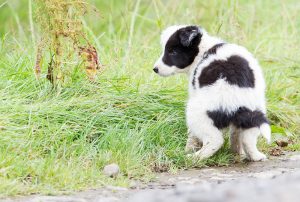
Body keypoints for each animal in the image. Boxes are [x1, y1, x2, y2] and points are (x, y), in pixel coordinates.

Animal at [154, 25, 270, 161]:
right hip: (254, 114)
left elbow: (192, 135)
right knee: (247, 138)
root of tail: (239, 104)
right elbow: (235, 135)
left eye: (172, 52)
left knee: (215, 140)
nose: (155, 69)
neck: (204, 50)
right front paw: (237, 153)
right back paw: (255, 156)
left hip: (198, 113)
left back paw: (194, 157)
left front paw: (188, 148)